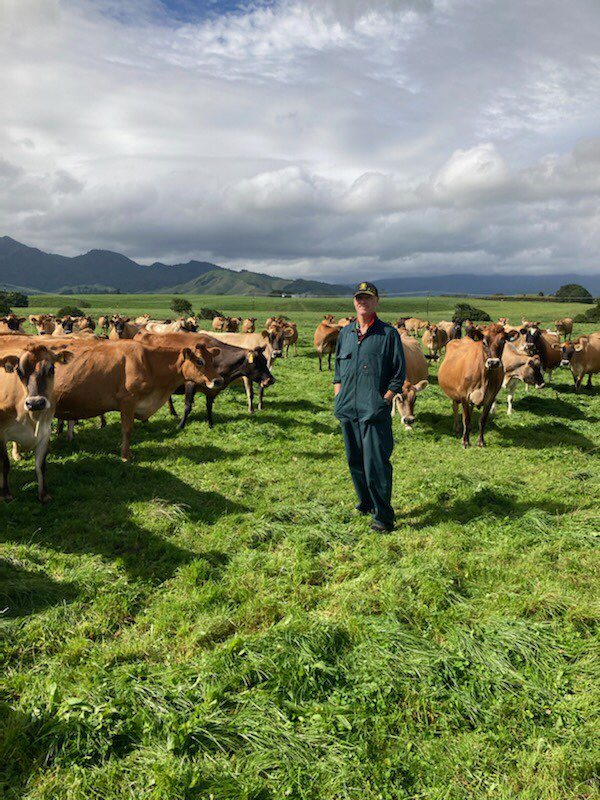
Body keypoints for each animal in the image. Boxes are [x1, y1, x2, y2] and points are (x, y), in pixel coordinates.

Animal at [0, 342, 73, 501]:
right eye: (19, 371)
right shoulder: (0, 434)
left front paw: (43, 494)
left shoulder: (45, 433)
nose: (35, 403)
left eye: (51, 369)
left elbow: (41, 466)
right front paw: (6, 494)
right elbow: (5, 465)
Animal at [50, 337, 223, 460]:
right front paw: (126, 456)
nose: (218, 381)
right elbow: (127, 429)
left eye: (212, 360)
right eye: (199, 361)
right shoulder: (128, 401)